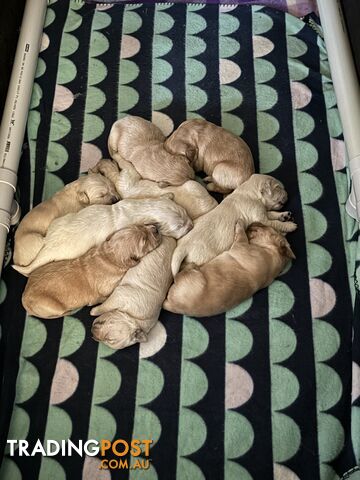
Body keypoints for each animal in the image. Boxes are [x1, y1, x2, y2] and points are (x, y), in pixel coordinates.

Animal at [20, 224, 160, 320]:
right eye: (144, 240)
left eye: (139, 225)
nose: (156, 227)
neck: (109, 256)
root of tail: (24, 297)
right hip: (52, 306)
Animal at [165, 222, 296, 318]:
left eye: (266, 227)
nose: (254, 222)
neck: (272, 252)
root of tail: (171, 304)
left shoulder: (242, 245)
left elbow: (241, 235)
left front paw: (240, 223)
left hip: (192, 276)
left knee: (179, 274)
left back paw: (191, 265)